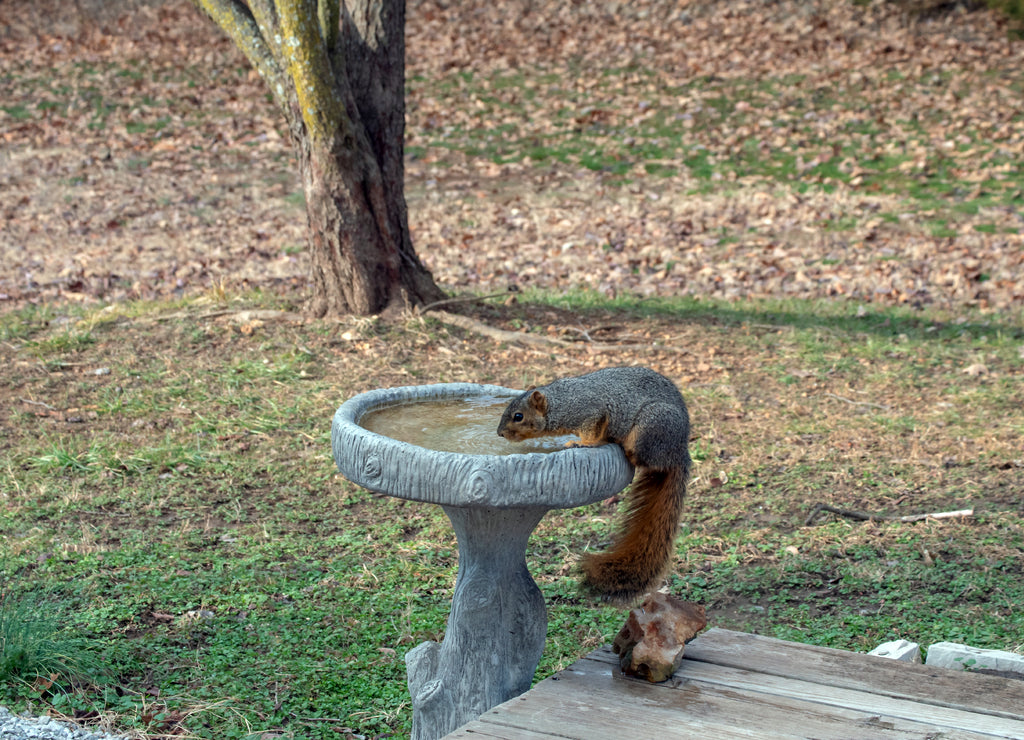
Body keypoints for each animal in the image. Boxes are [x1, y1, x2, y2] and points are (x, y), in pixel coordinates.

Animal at [497, 366, 691, 604]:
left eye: (518, 416)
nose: (499, 433)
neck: (560, 403)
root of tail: (678, 451)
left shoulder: (591, 413)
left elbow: (592, 432)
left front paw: (581, 443)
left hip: (652, 425)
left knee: (643, 458)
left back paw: (626, 450)